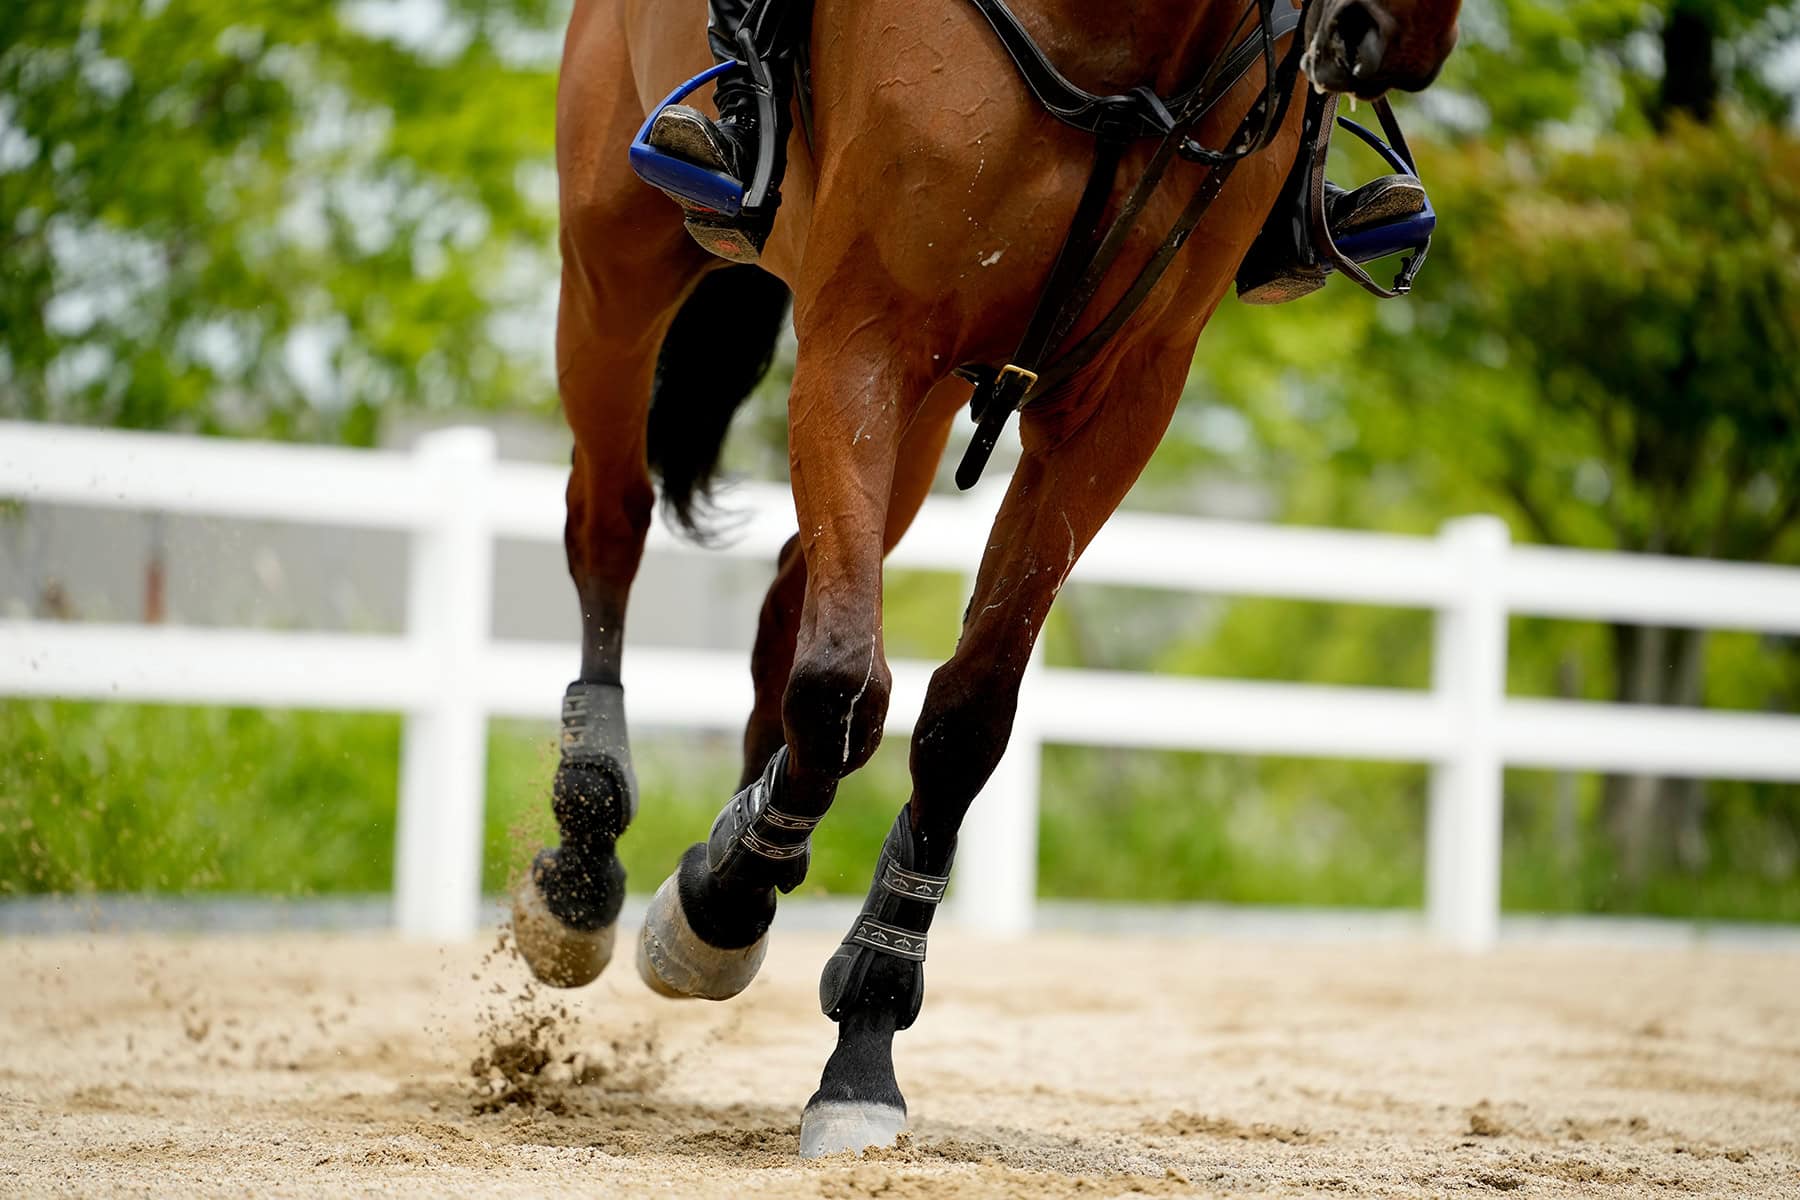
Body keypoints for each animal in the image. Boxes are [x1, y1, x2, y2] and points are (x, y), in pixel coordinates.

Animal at [509, 0, 1462, 1157]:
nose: (1400, 37)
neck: (1125, 50)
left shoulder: (1115, 402)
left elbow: (963, 716)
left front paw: (857, 1034)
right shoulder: (864, 337)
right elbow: (842, 688)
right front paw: (719, 908)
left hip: (914, 418)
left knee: (791, 597)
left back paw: (747, 839)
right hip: (614, 267)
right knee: (612, 526)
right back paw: (586, 858)